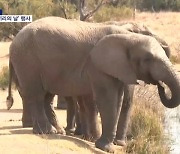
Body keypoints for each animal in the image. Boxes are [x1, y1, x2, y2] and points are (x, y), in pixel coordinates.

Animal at [5, 17, 180, 153]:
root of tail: (14, 40)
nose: (160, 86)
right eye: (148, 59)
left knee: (46, 96)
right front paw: (106, 147)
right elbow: (107, 98)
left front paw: (105, 146)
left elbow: (117, 99)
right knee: (36, 95)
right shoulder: (98, 65)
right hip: (28, 61)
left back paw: (54, 131)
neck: (127, 36)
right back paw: (46, 131)